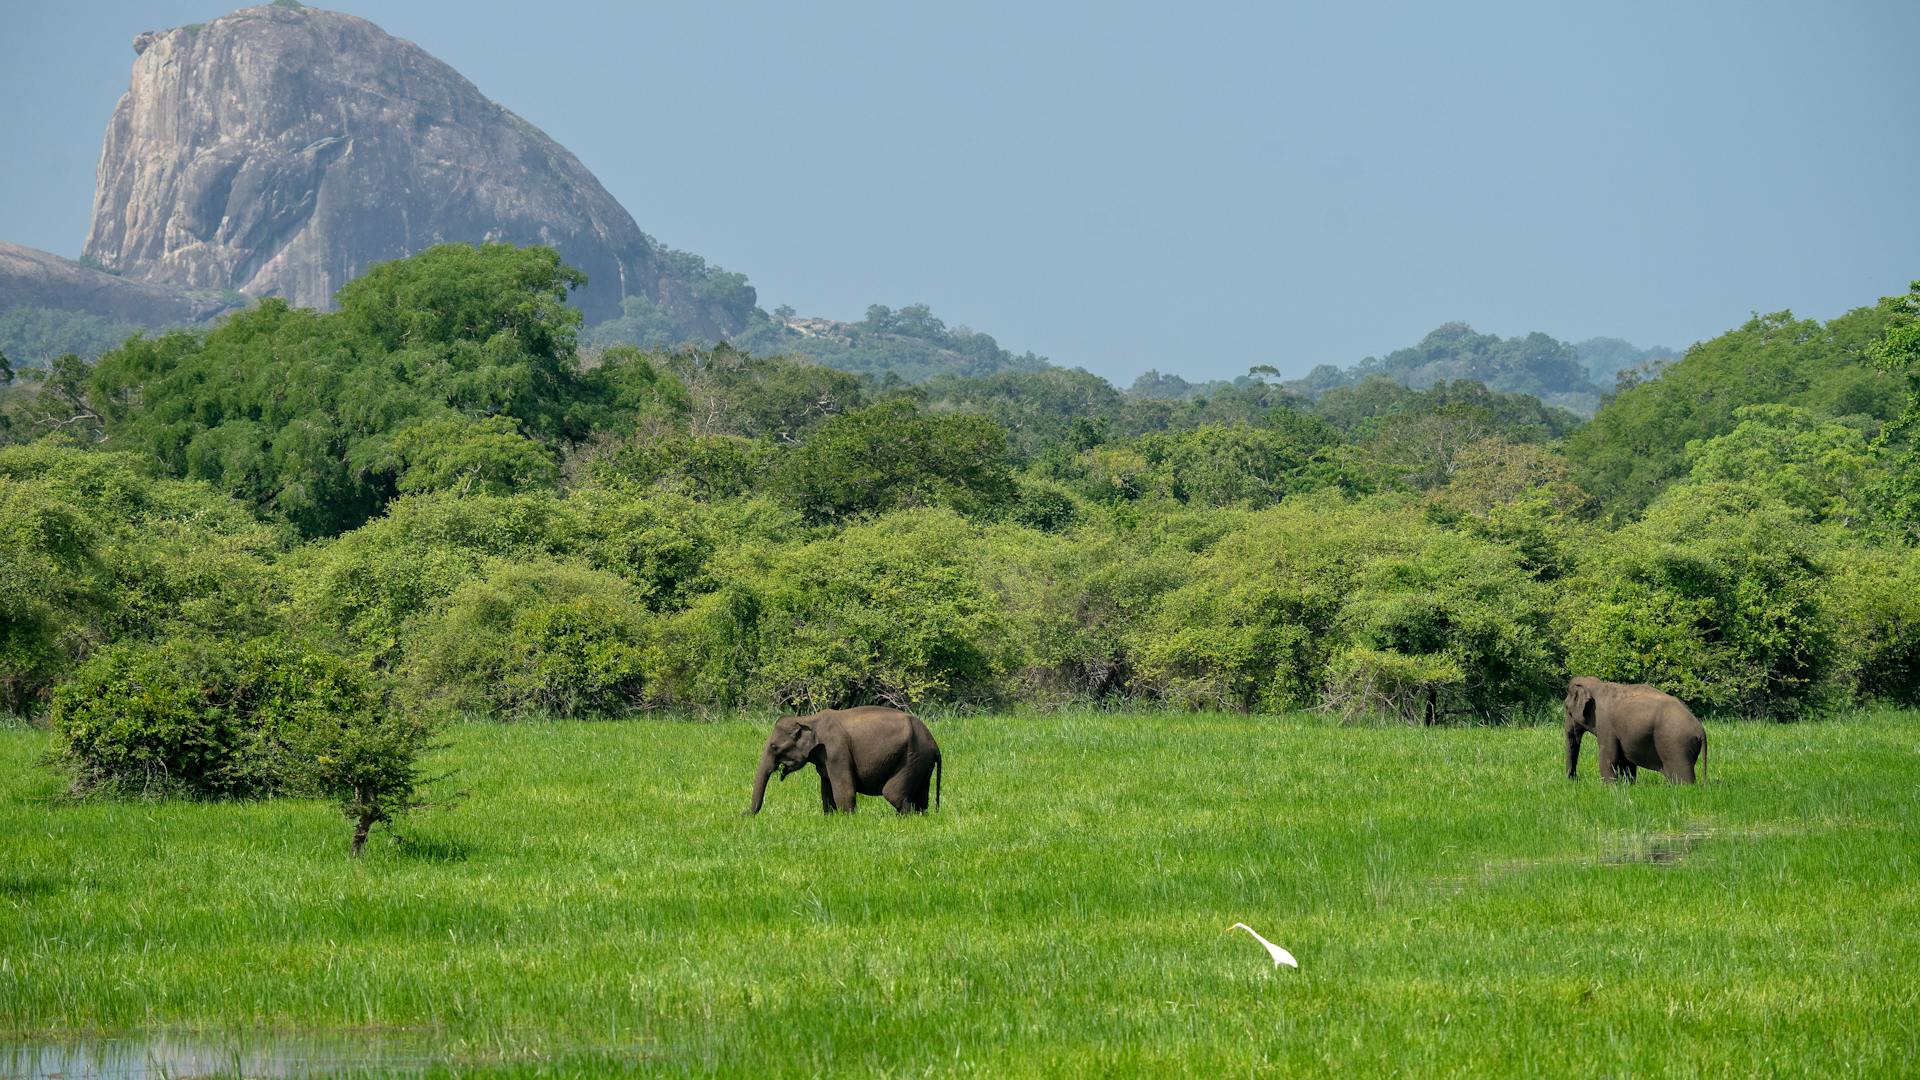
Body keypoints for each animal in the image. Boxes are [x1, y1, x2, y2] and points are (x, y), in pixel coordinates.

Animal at [741, 703, 944, 810]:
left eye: (774, 747)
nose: (743, 815)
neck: (808, 719)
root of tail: (934, 744)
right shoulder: (823, 759)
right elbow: (826, 791)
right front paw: (830, 818)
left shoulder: (836, 752)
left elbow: (844, 791)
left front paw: (847, 820)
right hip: (921, 763)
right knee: (920, 796)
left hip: (910, 757)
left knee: (893, 793)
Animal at [1559, 676, 1712, 776]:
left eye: (1566, 709)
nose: (1574, 779)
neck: (1598, 685)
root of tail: (1701, 730)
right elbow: (1626, 761)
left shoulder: (1605, 725)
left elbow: (1609, 756)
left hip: (1677, 746)